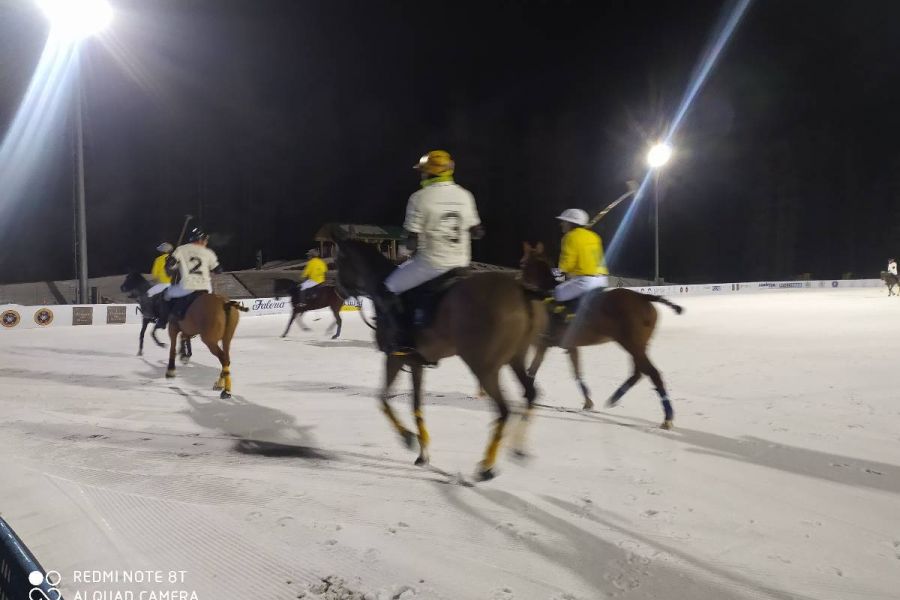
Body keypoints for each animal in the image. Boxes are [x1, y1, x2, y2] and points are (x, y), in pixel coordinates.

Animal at [334, 237, 548, 480]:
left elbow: (382, 399)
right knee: (530, 393)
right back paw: (518, 449)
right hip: (516, 358)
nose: (338, 290)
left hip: (484, 367)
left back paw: (486, 467)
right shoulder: (415, 362)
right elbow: (416, 406)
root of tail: (522, 292)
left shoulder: (394, 358)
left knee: (504, 410)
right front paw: (423, 453)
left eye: (338, 260)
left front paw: (407, 438)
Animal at [520, 241, 684, 428]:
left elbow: (532, 370)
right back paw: (615, 397)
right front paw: (588, 402)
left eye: (522, 263)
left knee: (652, 372)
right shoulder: (569, 345)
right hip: (639, 344)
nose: (520, 285)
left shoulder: (543, 344)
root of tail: (644, 297)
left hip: (631, 343)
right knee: (639, 371)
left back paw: (667, 417)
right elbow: (576, 372)